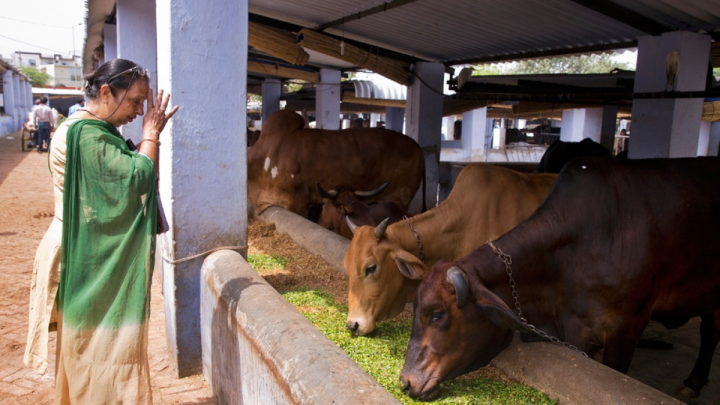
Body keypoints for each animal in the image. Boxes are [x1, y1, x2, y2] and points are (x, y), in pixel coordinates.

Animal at [400, 156, 720, 401]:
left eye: (438, 314)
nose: (406, 382)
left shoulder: (627, 327)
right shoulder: (576, 331)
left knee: (710, 335)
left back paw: (693, 383)